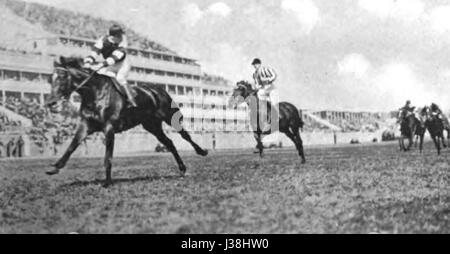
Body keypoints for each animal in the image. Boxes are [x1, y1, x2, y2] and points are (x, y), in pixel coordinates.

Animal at [45, 56, 207, 188]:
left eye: (62, 77)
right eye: (50, 79)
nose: (50, 102)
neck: (95, 93)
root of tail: (158, 90)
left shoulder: (109, 128)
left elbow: (108, 157)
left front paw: (107, 182)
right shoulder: (86, 125)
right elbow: (72, 146)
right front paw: (55, 167)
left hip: (170, 117)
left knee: (185, 135)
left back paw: (201, 151)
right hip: (152, 126)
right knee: (169, 143)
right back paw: (182, 168)